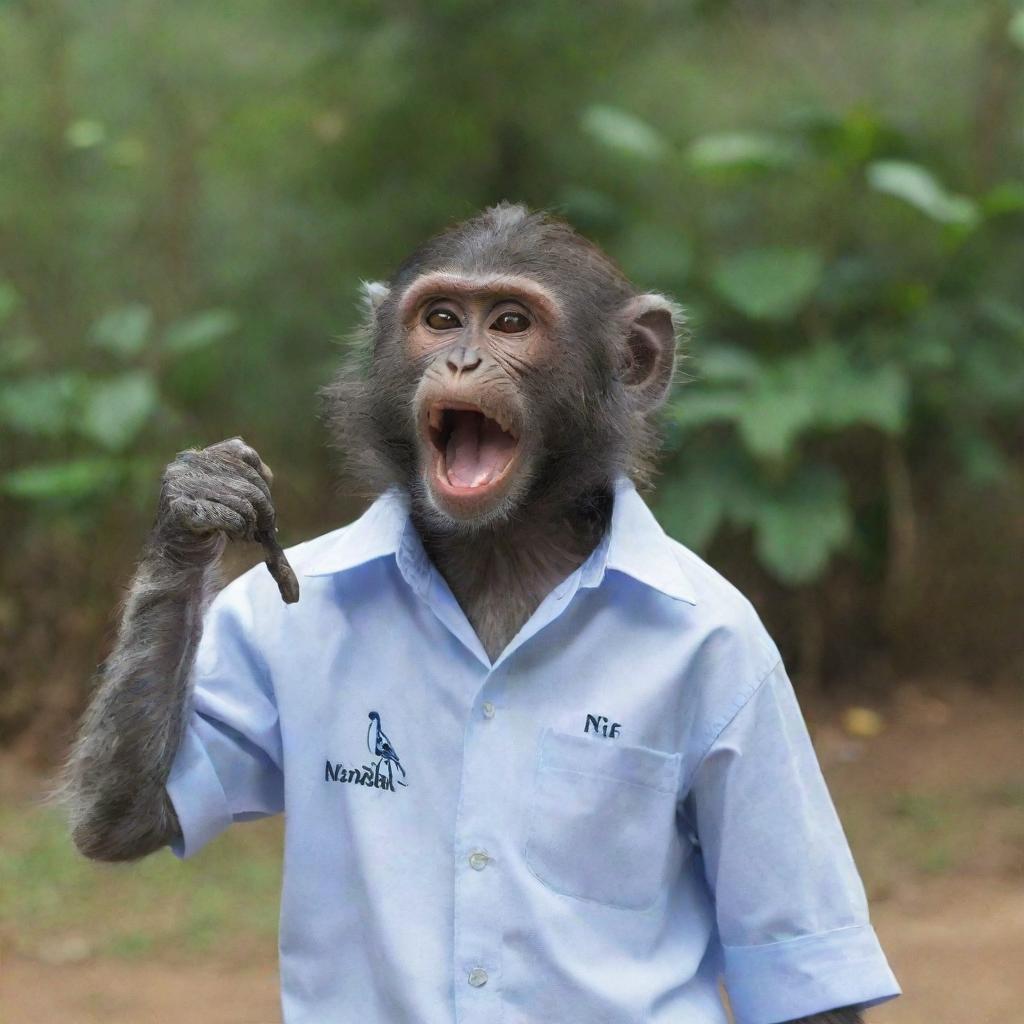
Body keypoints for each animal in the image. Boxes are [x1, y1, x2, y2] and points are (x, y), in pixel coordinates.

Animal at [66, 203, 897, 1019]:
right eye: (439, 318)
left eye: (509, 323)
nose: (461, 361)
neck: (503, 545)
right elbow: (131, 811)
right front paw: (199, 499)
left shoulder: (750, 664)